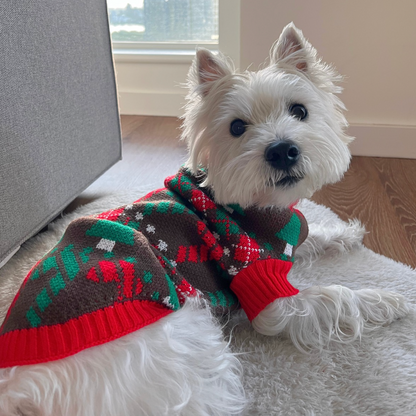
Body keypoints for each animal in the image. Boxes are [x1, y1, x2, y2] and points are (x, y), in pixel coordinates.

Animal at [0, 22, 410, 416]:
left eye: (300, 111)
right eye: (236, 127)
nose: (282, 150)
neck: (258, 206)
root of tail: (19, 390)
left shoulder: (284, 239)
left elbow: (312, 236)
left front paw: (346, 234)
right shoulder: (265, 291)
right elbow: (336, 295)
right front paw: (389, 301)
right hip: (184, 338)